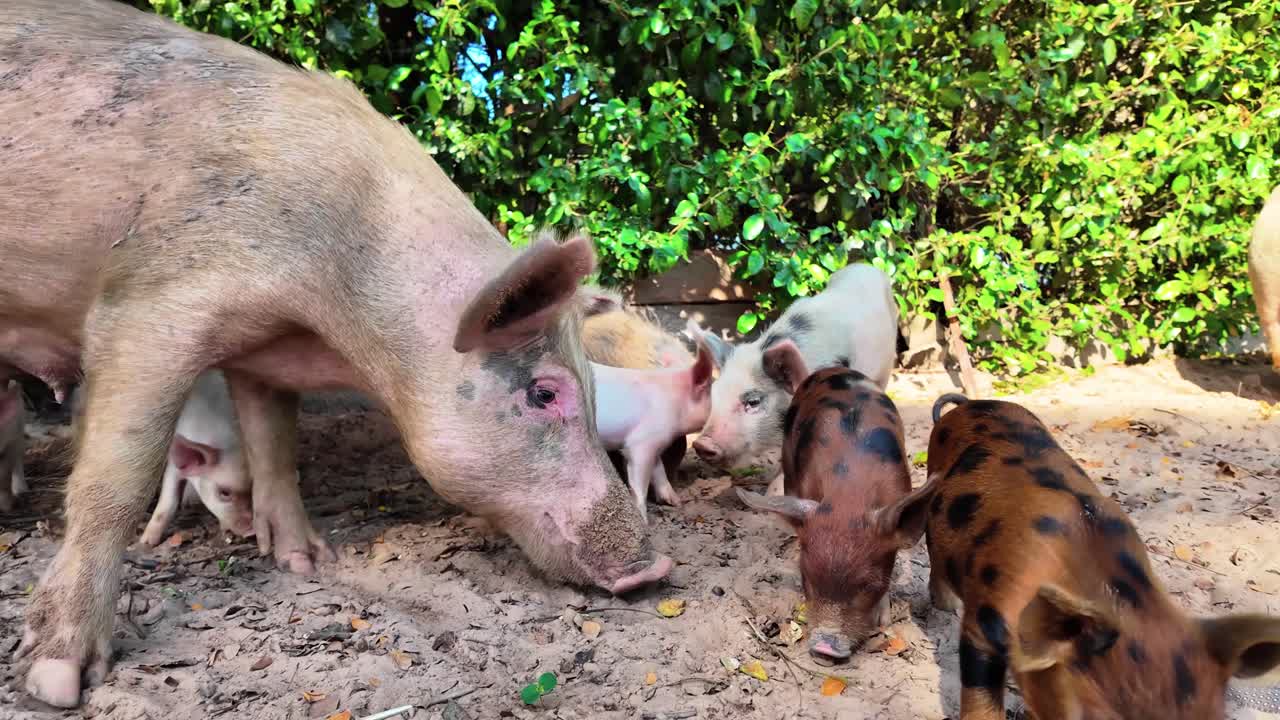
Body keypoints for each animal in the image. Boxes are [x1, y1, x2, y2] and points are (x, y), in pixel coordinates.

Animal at [593, 344, 715, 520]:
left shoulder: (656, 443)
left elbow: (659, 469)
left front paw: (676, 502)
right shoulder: (641, 442)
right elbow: (640, 481)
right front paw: (643, 520)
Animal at [736, 363, 917, 661]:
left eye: (868, 586)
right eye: (807, 579)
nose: (823, 649)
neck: (851, 494)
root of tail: (832, 369)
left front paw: (883, 622)